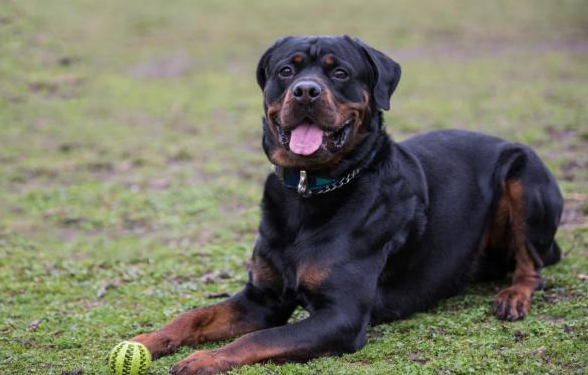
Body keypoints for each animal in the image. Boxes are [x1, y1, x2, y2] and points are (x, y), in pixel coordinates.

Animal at [131, 36, 564, 375]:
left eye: (339, 73)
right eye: (286, 71)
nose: (306, 91)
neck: (308, 191)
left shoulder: (341, 316)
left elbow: (260, 338)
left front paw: (204, 359)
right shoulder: (262, 299)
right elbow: (193, 317)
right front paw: (147, 339)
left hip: (524, 173)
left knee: (532, 263)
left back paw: (513, 296)